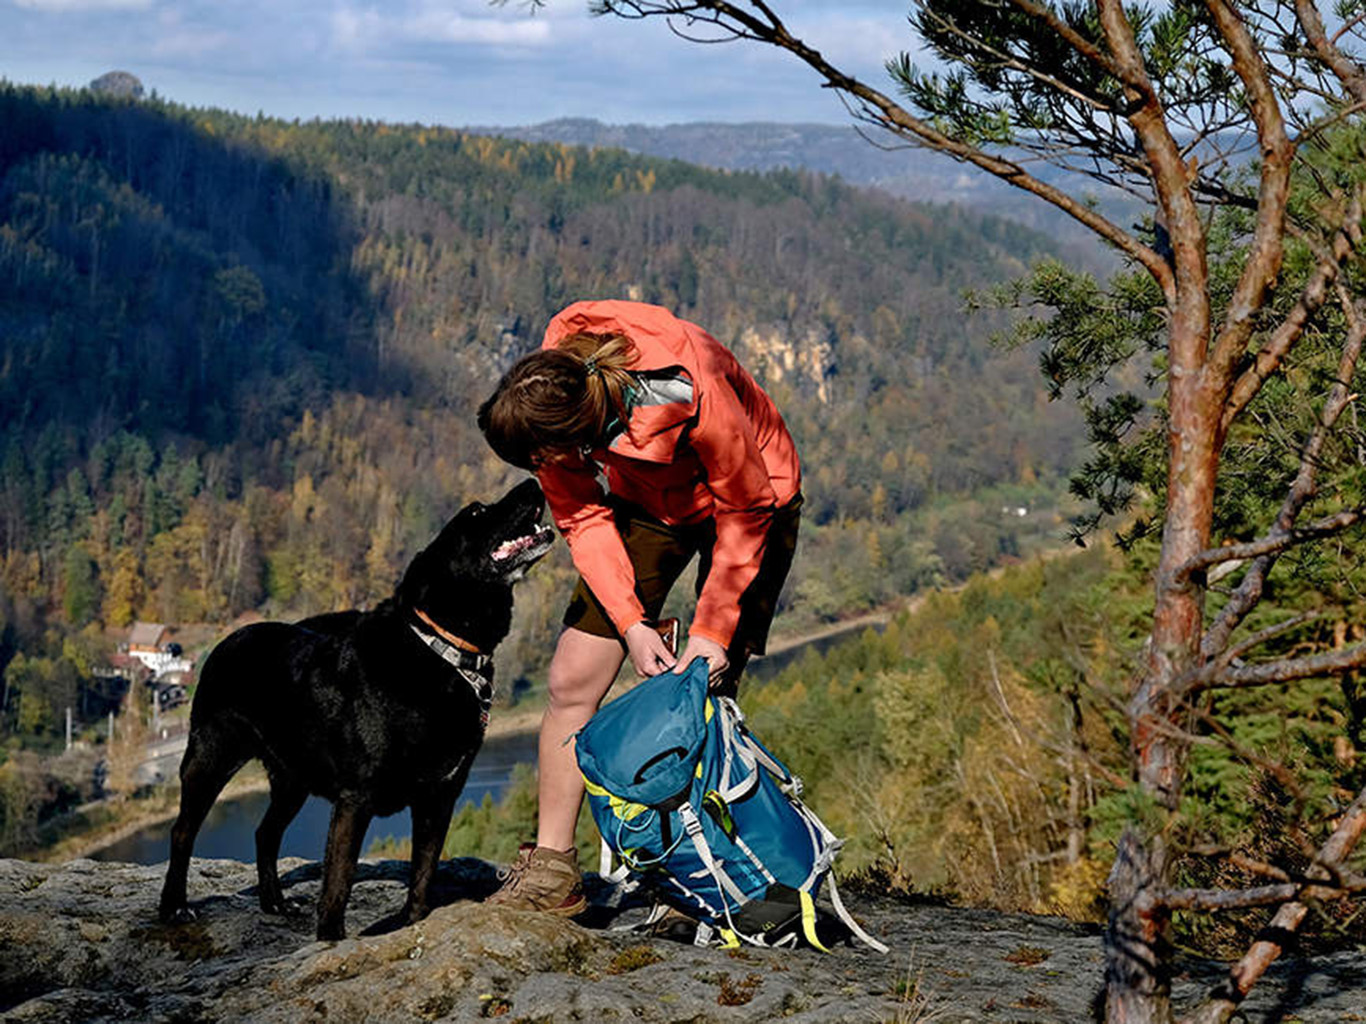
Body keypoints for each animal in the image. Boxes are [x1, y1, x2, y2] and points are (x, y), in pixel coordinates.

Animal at [155, 483, 549, 944]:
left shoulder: (440, 796)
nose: (533, 483)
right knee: (183, 831)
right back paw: (174, 907)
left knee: (265, 832)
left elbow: (423, 874)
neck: (443, 653)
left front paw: (412, 924)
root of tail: (227, 640)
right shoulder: (355, 799)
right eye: (476, 511)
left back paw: (274, 903)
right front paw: (330, 940)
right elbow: (338, 882)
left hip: (292, 777)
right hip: (211, 758)